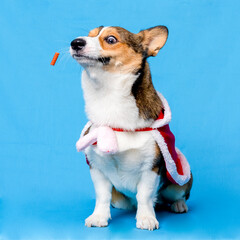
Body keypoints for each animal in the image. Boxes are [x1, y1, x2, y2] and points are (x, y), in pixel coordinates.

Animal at [69, 25, 191, 231]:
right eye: (89, 34)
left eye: (110, 39)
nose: (75, 42)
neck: (109, 98)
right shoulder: (97, 167)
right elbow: (102, 196)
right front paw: (99, 217)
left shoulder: (151, 167)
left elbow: (145, 195)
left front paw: (146, 218)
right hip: (120, 200)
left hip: (179, 182)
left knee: (176, 195)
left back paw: (178, 205)